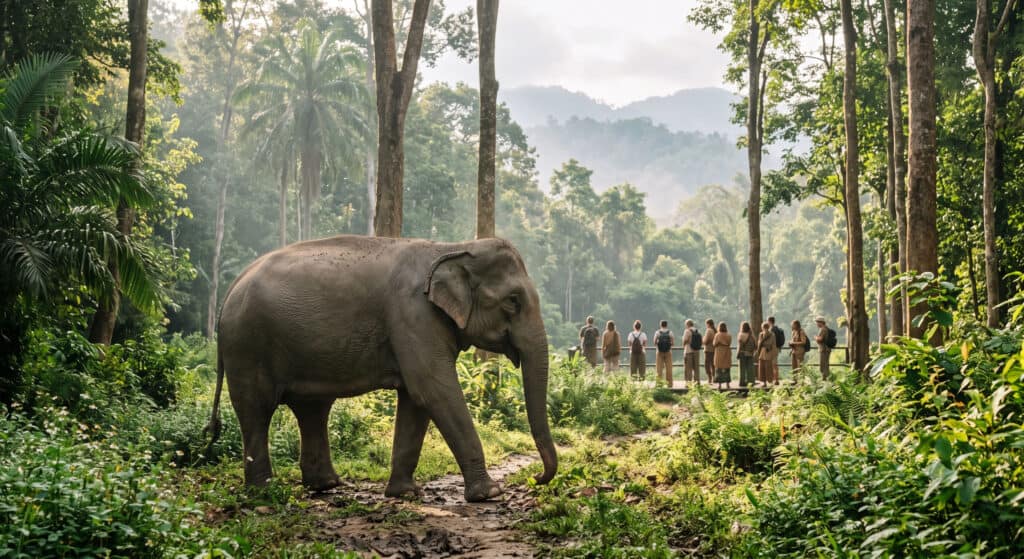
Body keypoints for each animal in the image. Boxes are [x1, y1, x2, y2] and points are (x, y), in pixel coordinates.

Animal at [203, 235, 557, 502]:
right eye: (513, 301)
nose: (537, 478)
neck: (452, 247)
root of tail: (230, 290)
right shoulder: (413, 315)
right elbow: (433, 390)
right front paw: (489, 494)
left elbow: (416, 399)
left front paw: (406, 493)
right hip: (247, 345)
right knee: (256, 410)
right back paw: (263, 491)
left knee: (312, 408)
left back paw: (326, 485)